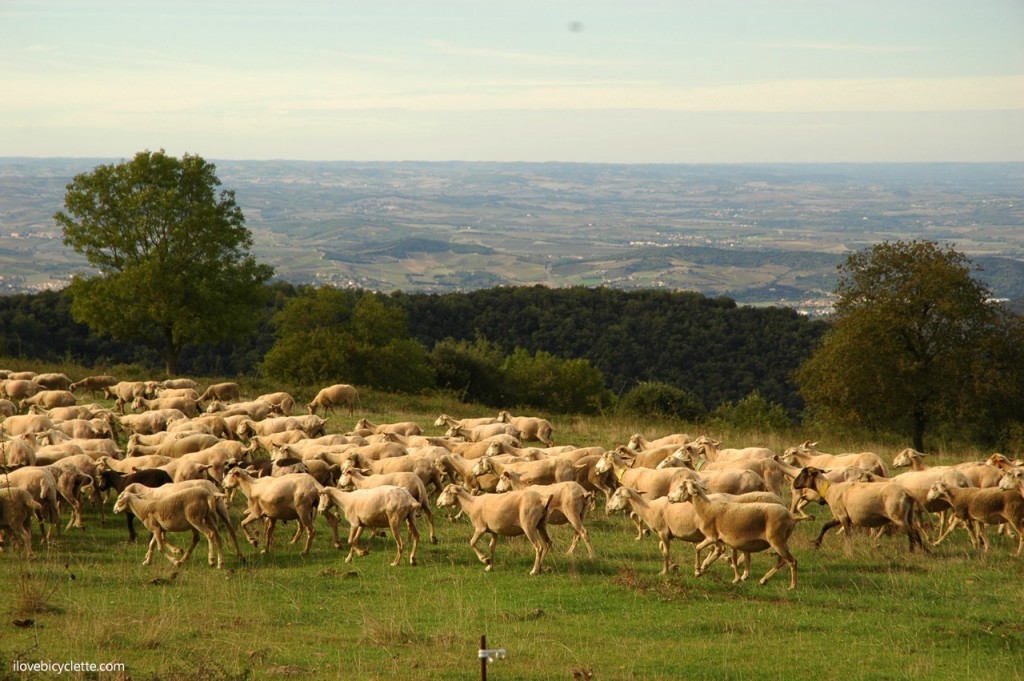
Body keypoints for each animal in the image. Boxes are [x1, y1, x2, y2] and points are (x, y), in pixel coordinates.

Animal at [671, 477, 806, 589]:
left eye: (681, 486)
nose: (669, 497)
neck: (706, 508)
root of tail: (791, 516)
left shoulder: (711, 537)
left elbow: (698, 548)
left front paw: (698, 571)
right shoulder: (728, 540)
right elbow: (733, 558)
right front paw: (737, 579)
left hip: (777, 540)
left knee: (792, 561)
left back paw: (792, 586)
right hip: (782, 540)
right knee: (782, 561)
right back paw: (763, 580)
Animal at [786, 464, 925, 548]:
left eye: (803, 474)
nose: (794, 485)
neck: (830, 489)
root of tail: (907, 493)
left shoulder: (843, 516)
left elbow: (848, 534)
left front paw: (848, 548)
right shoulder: (838, 516)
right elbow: (825, 526)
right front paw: (817, 542)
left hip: (898, 516)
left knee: (912, 533)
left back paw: (918, 550)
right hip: (907, 516)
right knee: (914, 532)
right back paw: (920, 551)